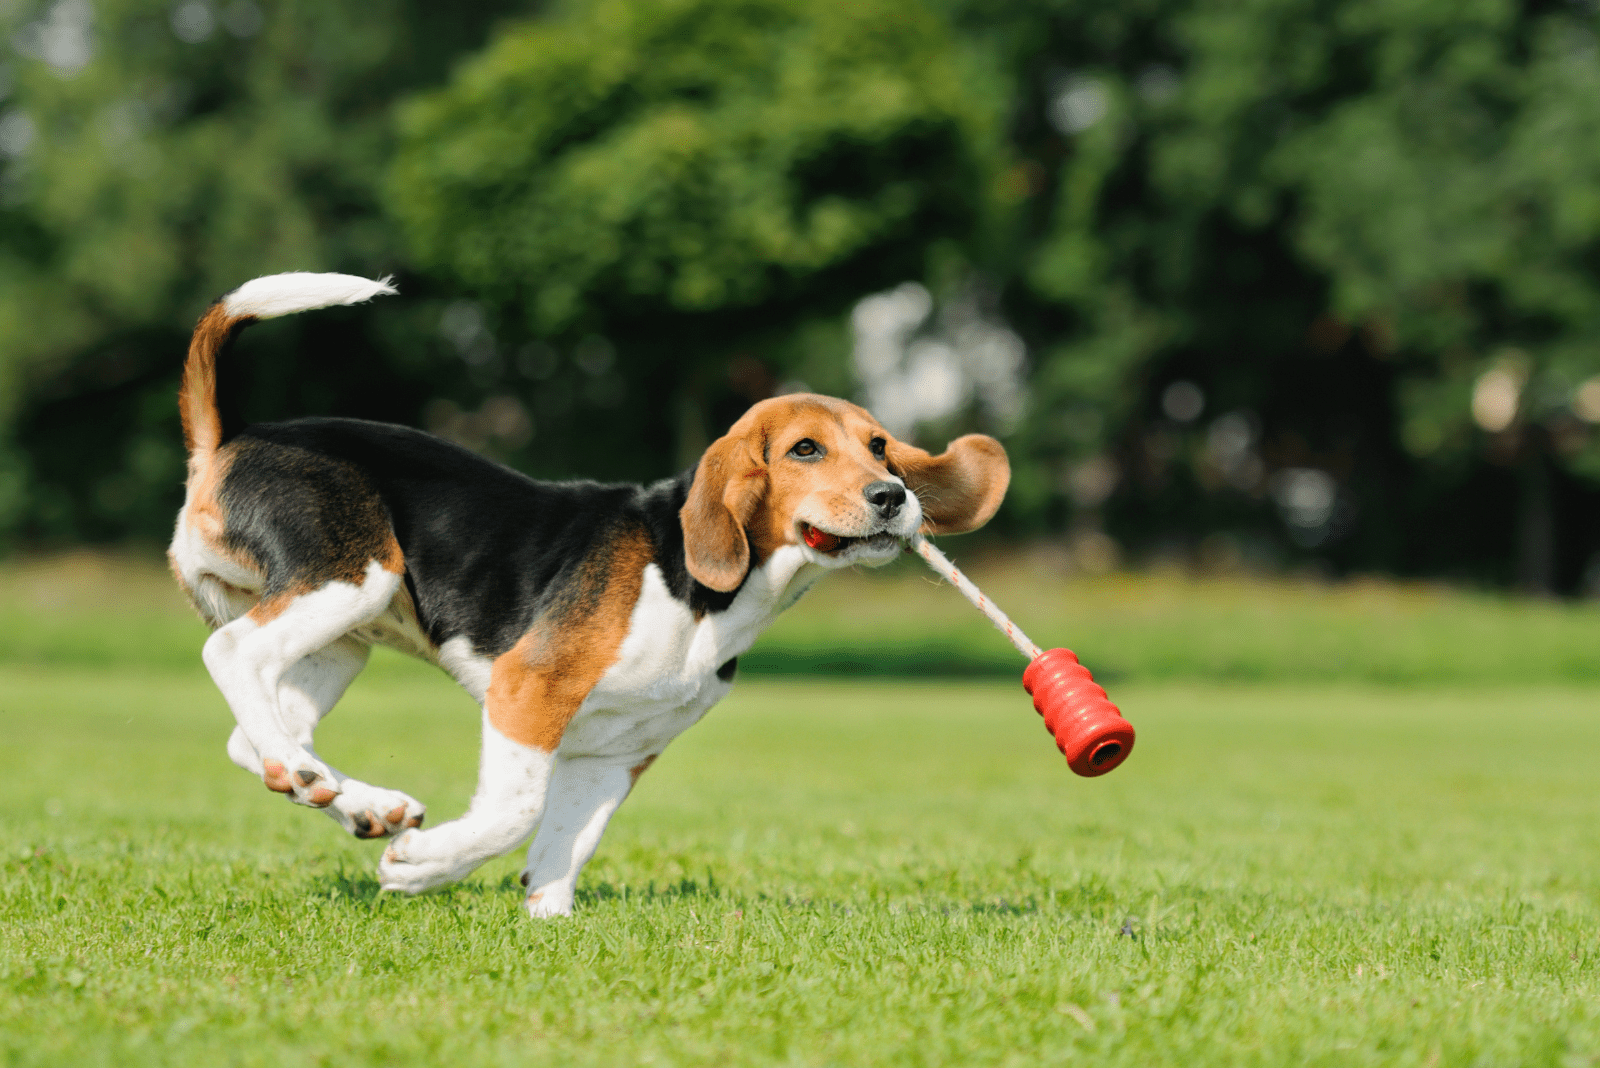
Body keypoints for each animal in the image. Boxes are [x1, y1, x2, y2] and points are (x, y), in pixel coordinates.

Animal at [165, 271, 1011, 914]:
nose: (892, 496)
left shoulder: (616, 751)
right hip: (352, 580)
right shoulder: (528, 689)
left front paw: (549, 922)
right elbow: (514, 812)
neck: (702, 594)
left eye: (879, 446)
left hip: (342, 639)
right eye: (806, 449)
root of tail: (233, 437)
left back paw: (359, 801)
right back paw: (320, 780)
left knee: (251, 733)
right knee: (231, 656)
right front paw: (426, 865)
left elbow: (563, 847)